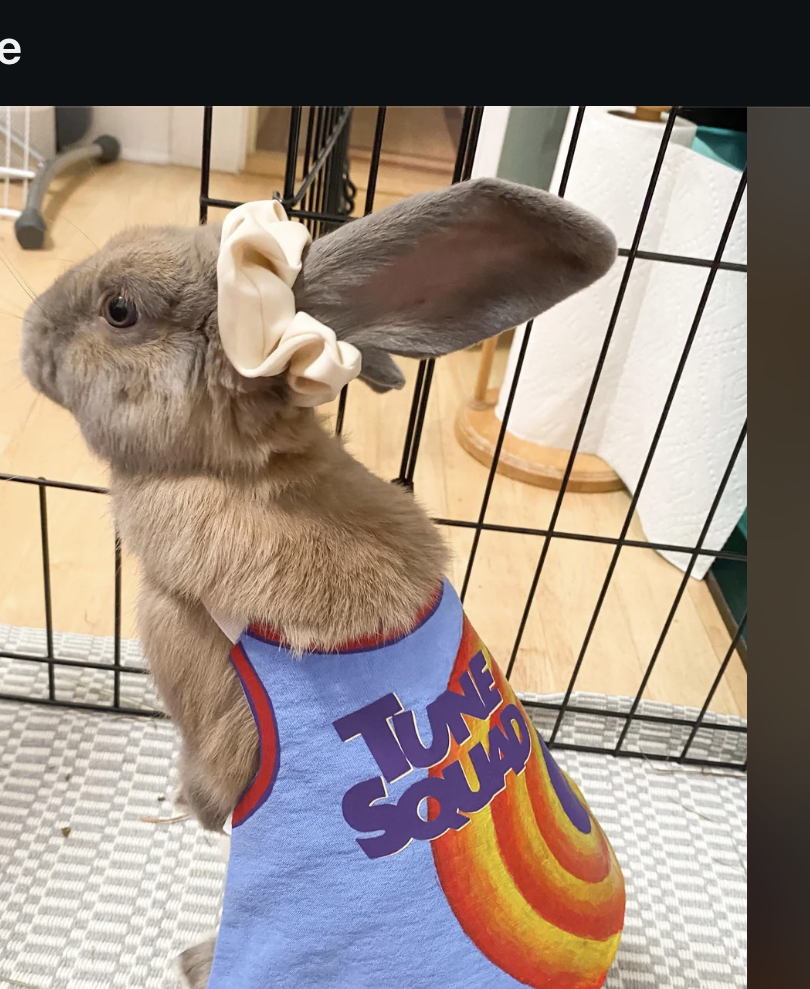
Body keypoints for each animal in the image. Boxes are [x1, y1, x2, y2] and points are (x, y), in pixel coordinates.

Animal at [20, 179, 624, 988]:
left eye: (120, 310)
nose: (30, 332)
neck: (243, 472)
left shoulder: (186, 650)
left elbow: (211, 766)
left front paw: (195, 807)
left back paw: (194, 959)